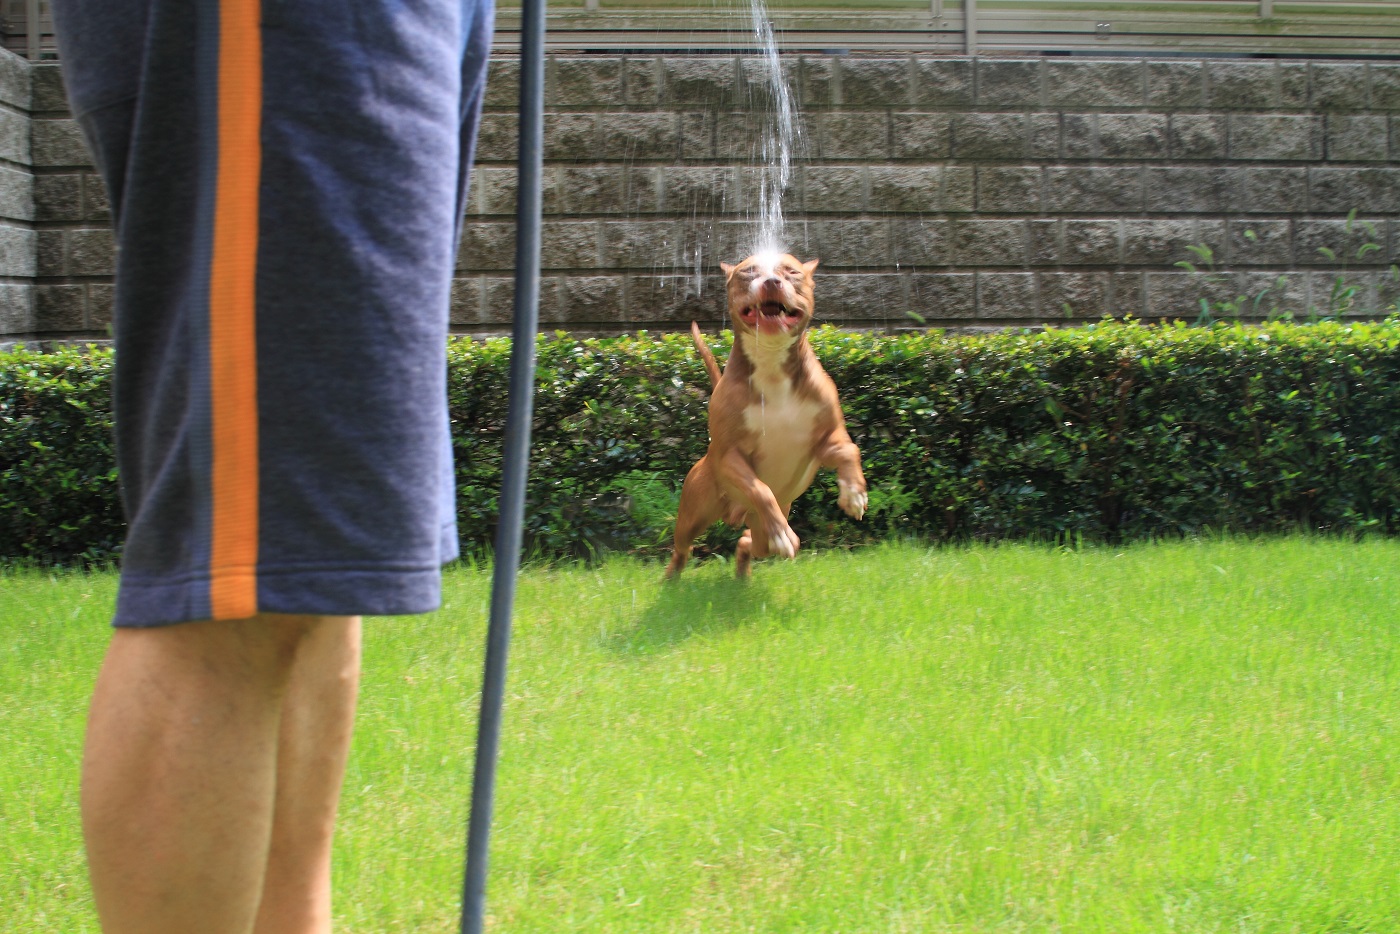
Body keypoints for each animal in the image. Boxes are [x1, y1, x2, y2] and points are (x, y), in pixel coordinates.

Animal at [666, 251, 867, 579]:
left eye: (791, 272)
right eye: (748, 271)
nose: (772, 281)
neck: (772, 365)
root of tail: (735, 513)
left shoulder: (824, 440)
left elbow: (849, 449)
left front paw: (853, 493)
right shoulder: (730, 456)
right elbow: (759, 489)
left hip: (760, 527)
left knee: (748, 542)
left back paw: (745, 569)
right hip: (694, 513)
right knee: (684, 546)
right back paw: (672, 577)